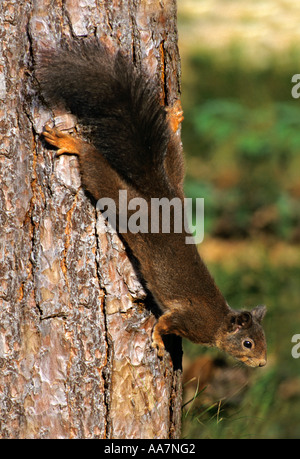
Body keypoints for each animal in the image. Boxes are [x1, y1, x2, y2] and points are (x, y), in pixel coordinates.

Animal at [37, 41, 268, 368]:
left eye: (264, 341)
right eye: (248, 343)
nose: (262, 364)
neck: (219, 325)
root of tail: (161, 193)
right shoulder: (190, 321)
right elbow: (163, 323)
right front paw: (158, 341)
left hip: (174, 176)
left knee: (172, 156)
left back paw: (171, 119)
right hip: (125, 203)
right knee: (98, 172)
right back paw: (73, 144)